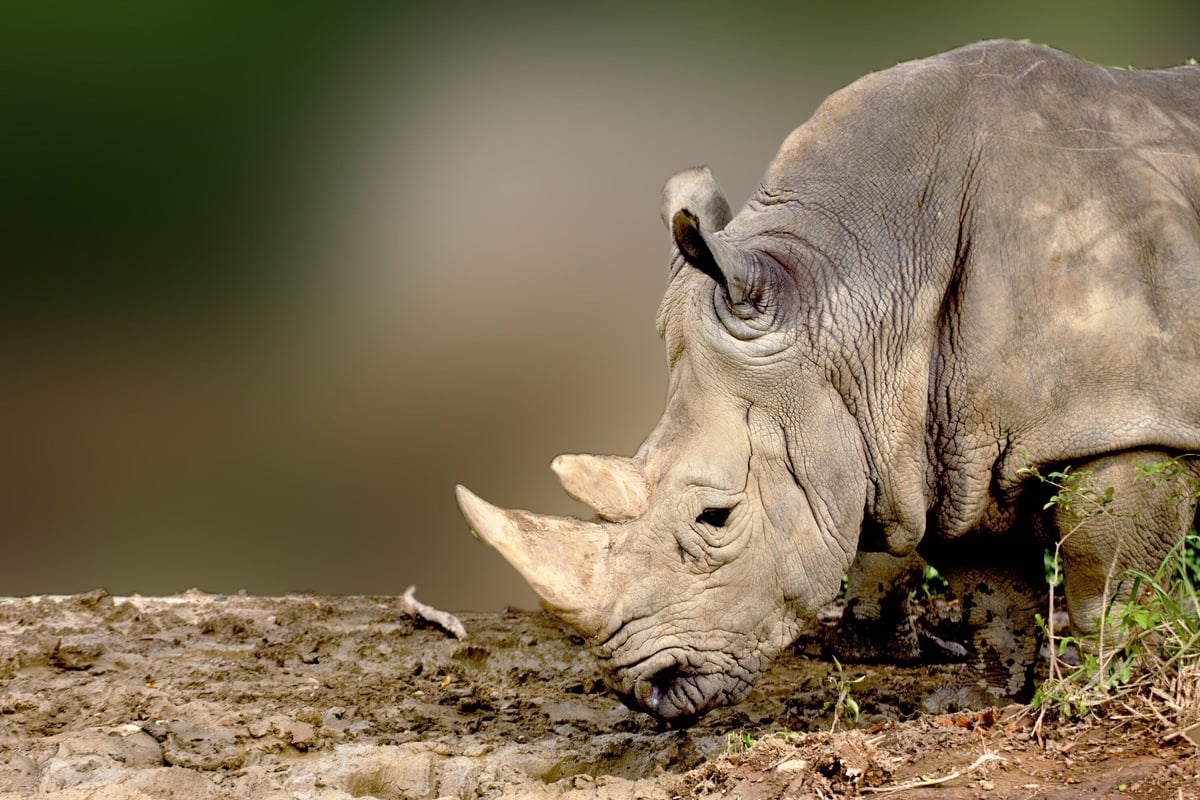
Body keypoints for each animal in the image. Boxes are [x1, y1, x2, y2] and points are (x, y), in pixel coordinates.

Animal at [456, 40, 1200, 722]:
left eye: (716, 517)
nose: (644, 690)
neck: (854, 286)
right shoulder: (941, 438)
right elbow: (989, 583)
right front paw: (981, 701)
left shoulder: (1126, 421)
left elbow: (1106, 572)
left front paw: (1105, 691)